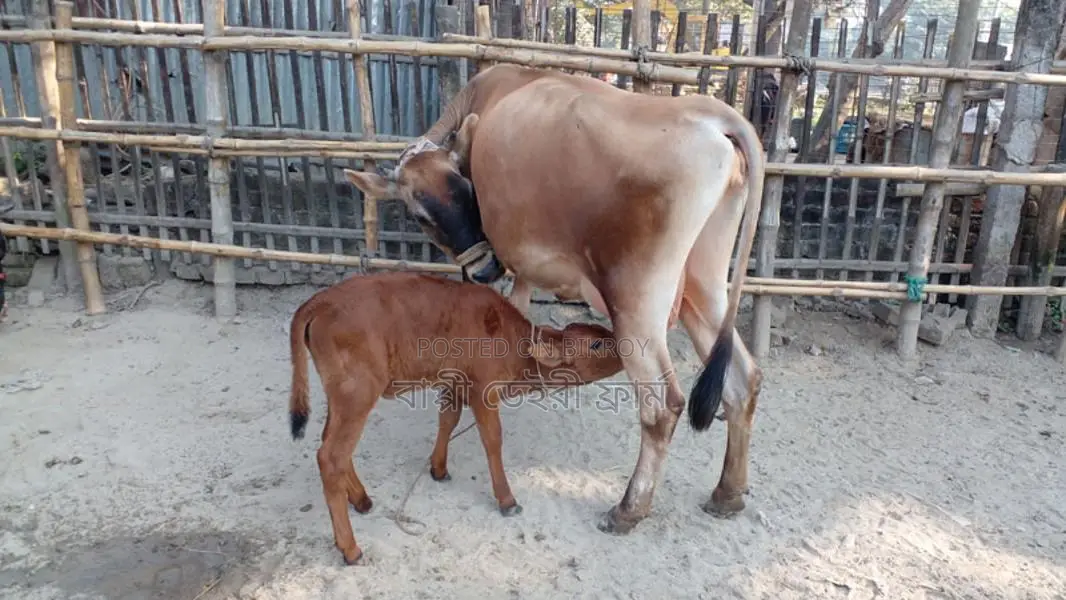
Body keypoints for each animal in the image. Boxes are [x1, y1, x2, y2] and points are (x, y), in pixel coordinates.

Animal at [287, 271, 625, 565]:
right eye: (596, 343)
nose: (625, 343)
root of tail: (320, 300)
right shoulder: (484, 391)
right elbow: (493, 440)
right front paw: (507, 500)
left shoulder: (453, 383)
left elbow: (447, 421)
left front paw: (438, 468)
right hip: (356, 394)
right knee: (331, 456)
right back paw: (350, 547)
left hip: (341, 399)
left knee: (330, 446)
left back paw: (360, 499)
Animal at [343, 63, 766, 535]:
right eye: (422, 213)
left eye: (468, 191)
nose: (485, 268)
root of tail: (710, 114)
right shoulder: (525, 269)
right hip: (703, 285)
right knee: (742, 378)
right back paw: (728, 493)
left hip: (636, 301)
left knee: (662, 406)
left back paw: (628, 509)